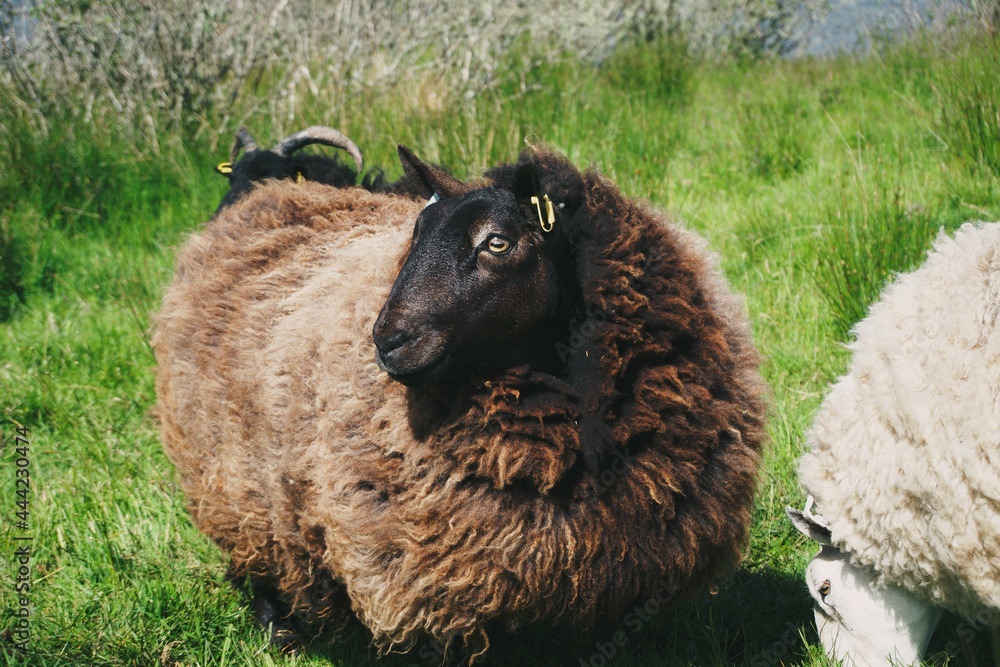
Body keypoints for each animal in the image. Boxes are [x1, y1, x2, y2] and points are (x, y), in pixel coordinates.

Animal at [153, 143, 769, 658]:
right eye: (415, 233)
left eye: (498, 242)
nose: (387, 339)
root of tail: (265, 200)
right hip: (234, 481)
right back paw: (279, 633)